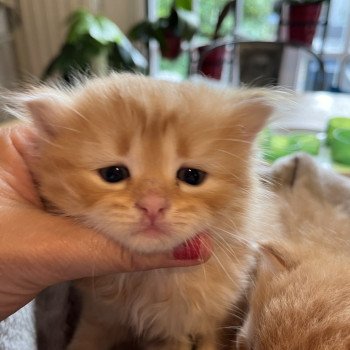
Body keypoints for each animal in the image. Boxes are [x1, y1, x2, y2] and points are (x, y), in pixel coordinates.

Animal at [15, 72, 278, 348]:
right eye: (113, 174)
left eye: (192, 176)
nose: (153, 205)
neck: (152, 280)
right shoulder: (99, 316)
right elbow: (83, 341)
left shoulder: (214, 321)